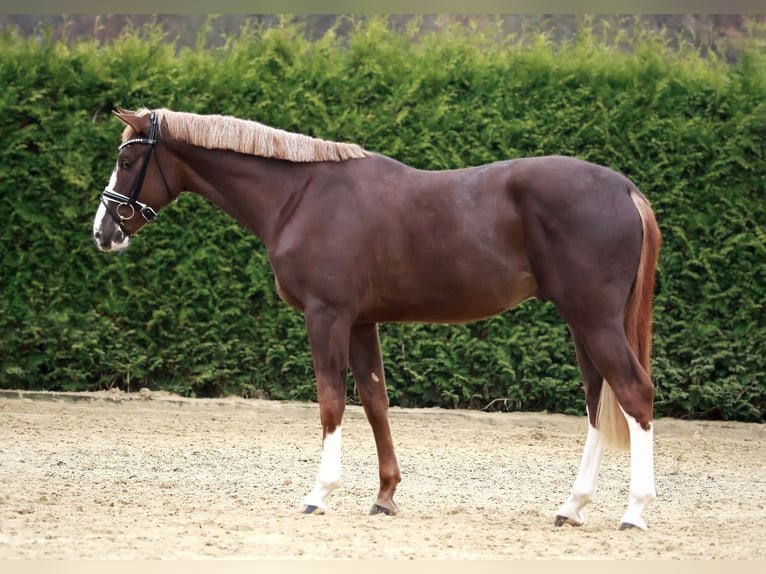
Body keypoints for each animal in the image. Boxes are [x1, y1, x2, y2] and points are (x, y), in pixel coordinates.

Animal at [93, 107, 664, 532]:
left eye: (128, 158)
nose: (102, 233)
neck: (300, 197)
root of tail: (624, 189)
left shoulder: (327, 316)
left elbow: (331, 402)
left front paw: (319, 494)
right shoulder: (362, 322)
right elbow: (375, 403)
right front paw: (386, 496)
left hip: (594, 321)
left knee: (634, 392)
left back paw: (634, 511)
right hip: (583, 323)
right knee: (598, 402)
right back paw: (572, 506)